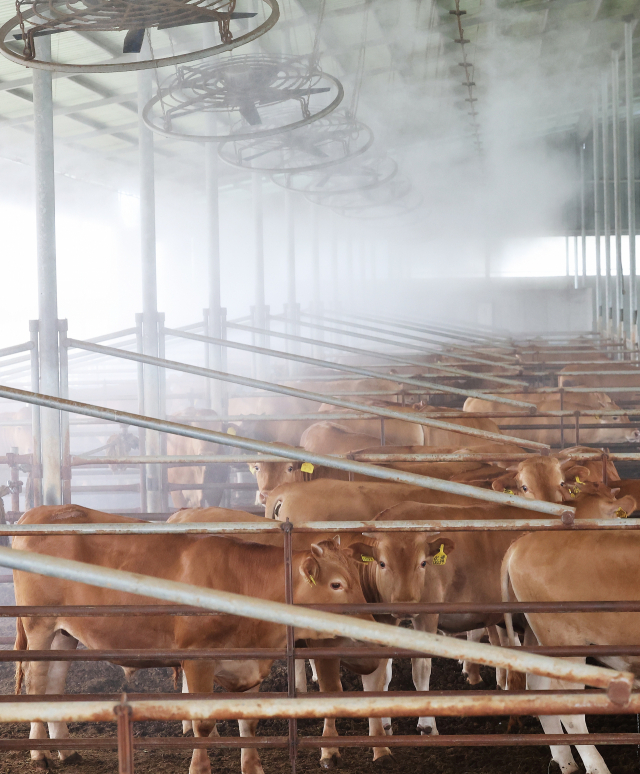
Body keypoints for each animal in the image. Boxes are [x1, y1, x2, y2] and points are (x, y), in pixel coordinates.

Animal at [12, 506, 368, 772]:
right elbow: (202, 724)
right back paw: (40, 754)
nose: (368, 620)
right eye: (336, 584)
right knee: (36, 682)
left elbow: (249, 722)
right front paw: (199, 767)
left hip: (64, 634)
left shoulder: (250, 661)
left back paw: (65, 750)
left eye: (356, 576)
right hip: (39, 625)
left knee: (54, 683)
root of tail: (34, 514)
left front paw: (253, 767)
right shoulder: (197, 660)